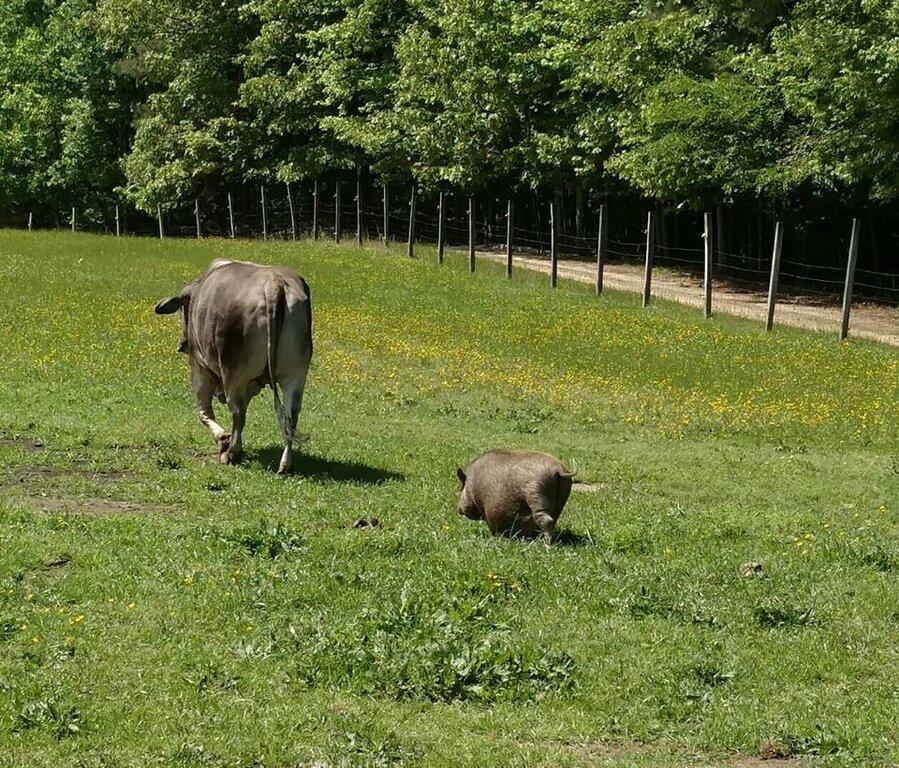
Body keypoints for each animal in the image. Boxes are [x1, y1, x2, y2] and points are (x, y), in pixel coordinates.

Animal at [153, 260, 312, 474]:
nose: (182, 344)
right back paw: (285, 464)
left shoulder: (199, 366)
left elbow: (203, 411)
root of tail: (274, 284)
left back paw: (232, 453)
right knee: (290, 417)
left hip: (233, 373)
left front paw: (223, 439)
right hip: (295, 375)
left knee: (237, 413)